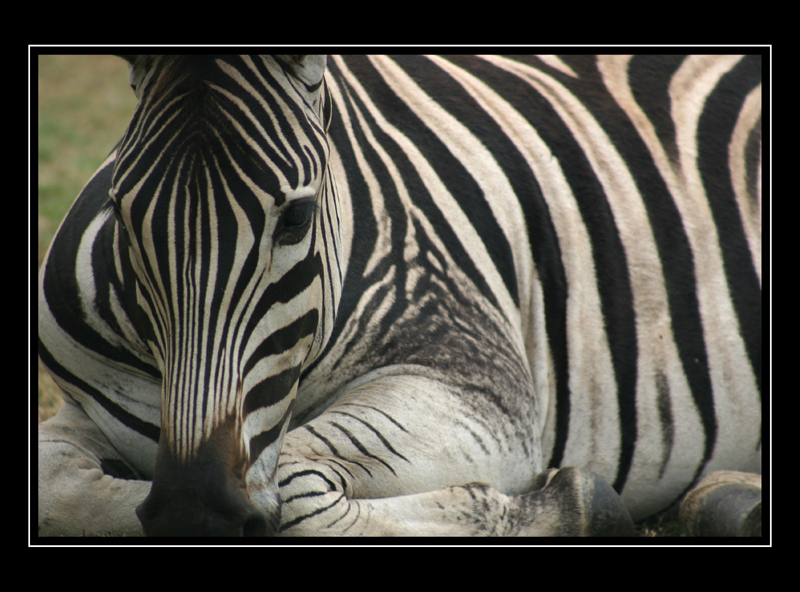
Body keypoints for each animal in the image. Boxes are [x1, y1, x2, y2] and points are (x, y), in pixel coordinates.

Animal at [39, 55, 764, 536]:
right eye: (121, 212)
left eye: (296, 220)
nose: (193, 509)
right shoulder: (109, 405)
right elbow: (57, 486)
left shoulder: (477, 384)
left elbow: (297, 490)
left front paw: (570, 506)